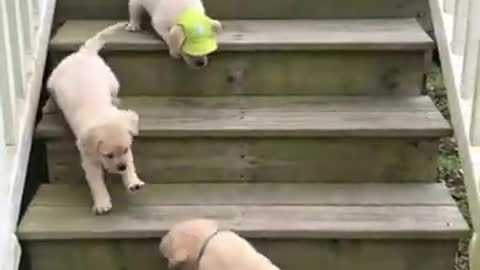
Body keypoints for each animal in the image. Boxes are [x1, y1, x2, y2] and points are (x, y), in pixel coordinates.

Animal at [46, 21, 145, 215]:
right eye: (108, 155)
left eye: (125, 150)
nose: (121, 168)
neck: (102, 116)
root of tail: (85, 52)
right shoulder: (88, 159)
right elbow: (97, 183)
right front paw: (102, 203)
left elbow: (132, 162)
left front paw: (132, 181)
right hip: (51, 82)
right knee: (52, 96)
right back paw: (49, 106)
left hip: (112, 81)